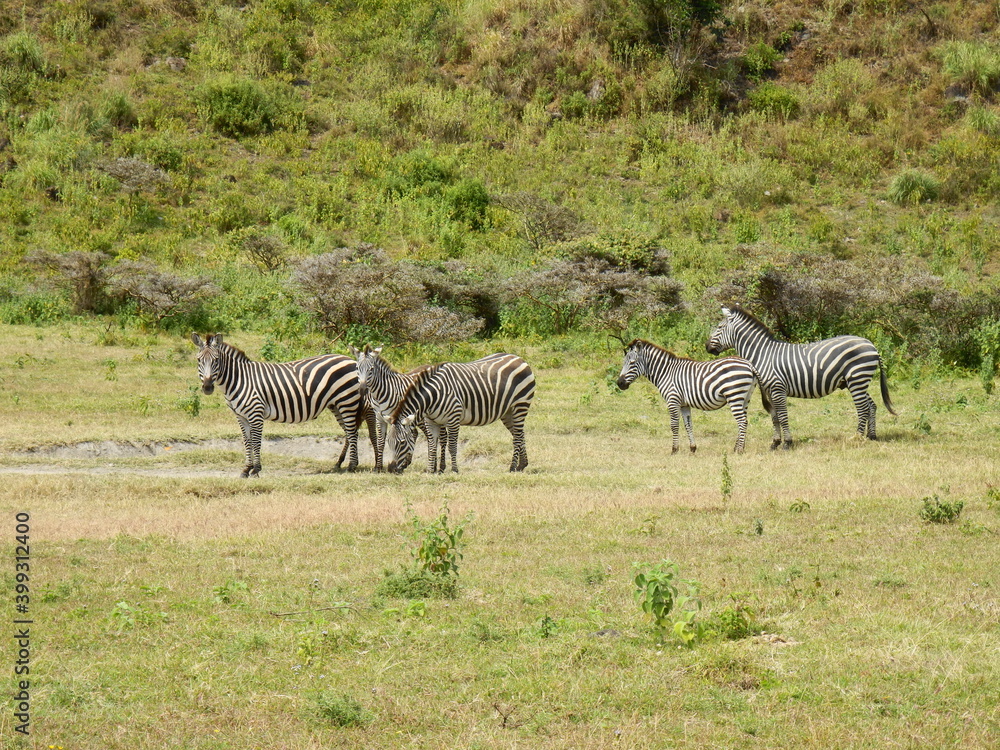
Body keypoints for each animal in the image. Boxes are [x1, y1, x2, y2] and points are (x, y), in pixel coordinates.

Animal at [191, 334, 378, 477]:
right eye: (199, 360)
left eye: (216, 360)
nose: (207, 387)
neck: (240, 380)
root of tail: (350, 360)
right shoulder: (241, 416)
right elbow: (247, 441)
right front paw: (246, 469)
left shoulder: (256, 413)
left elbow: (256, 441)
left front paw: (256, 470)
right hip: (336, 404)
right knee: (350, 432)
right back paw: (341, 463)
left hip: (347, 401)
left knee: (352, 432)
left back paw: (351, 466)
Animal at [348, 344, 442, 472]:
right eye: (357, 368)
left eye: (371, 369)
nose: (362, 390)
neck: (379, 394)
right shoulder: (380, 417)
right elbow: (381, 440)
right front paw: (378, 467)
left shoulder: (395, 417)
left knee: (434, 436)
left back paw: (436, 466)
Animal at [385, 353, 535, 474]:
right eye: (389, 442)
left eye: (402, 443)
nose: (391, 469)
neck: (432, 397)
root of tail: (519, 358)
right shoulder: (430, 421)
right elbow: (432, 446)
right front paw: (430, 471)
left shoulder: (453, 419)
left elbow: (452, 447)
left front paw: (454, 470)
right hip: (508, 412)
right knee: (519, 434)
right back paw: (522, 465)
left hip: (520, 405)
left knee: (517, 438)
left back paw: (512, 467)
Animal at [617, 338, 761, 454]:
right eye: (624, 362)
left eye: (632, 362)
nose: (620, 383)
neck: (666, 372)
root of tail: (749, 364)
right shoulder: (684, 404)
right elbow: (688, 424)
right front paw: (693, 448)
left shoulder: (673, 400)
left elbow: (674, 425)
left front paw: (674, 450)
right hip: (745, 397)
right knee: (744, 421)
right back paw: (738, 447)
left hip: (734, 395)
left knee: (742, 421)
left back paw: (739, 450)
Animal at [705, 305, 896, 449]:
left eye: (719, 327)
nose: (707, 346)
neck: (762, 354)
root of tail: (871, 344)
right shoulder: (769, 390)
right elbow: (774, 417)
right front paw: (775, 443)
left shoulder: (777, 388)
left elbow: (783, 416)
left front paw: (787, 443)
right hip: (857, 381)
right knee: (871, 405)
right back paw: (871, 436)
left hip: (857, 378)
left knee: (863, 408)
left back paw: (856, 438)